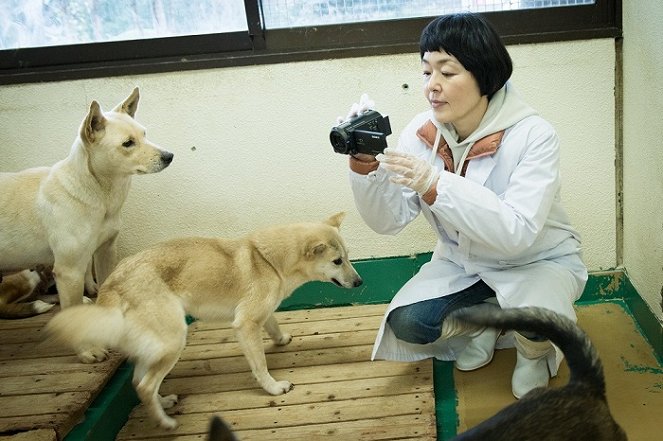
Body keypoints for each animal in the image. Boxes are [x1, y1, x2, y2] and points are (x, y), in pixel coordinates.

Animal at [0, 87, 174, 312]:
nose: (169, 156)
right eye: (128, 143)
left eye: (144, 134)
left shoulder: (105, 252)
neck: (98, 193)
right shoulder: (69, 272)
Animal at [45, 211, 364, 428]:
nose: (360, 282)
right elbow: (260, 365)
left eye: (349, 257)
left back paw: (162, 403)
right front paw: (273, 388)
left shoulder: (258, 314)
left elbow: (273, 323)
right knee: (145, 385)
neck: (269, 260)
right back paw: (165, 422)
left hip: (154, 347)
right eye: (338, 262)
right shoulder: (245, 324)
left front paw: (281, 338)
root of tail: (113, 281)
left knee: (139, 383)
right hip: (173, 340)